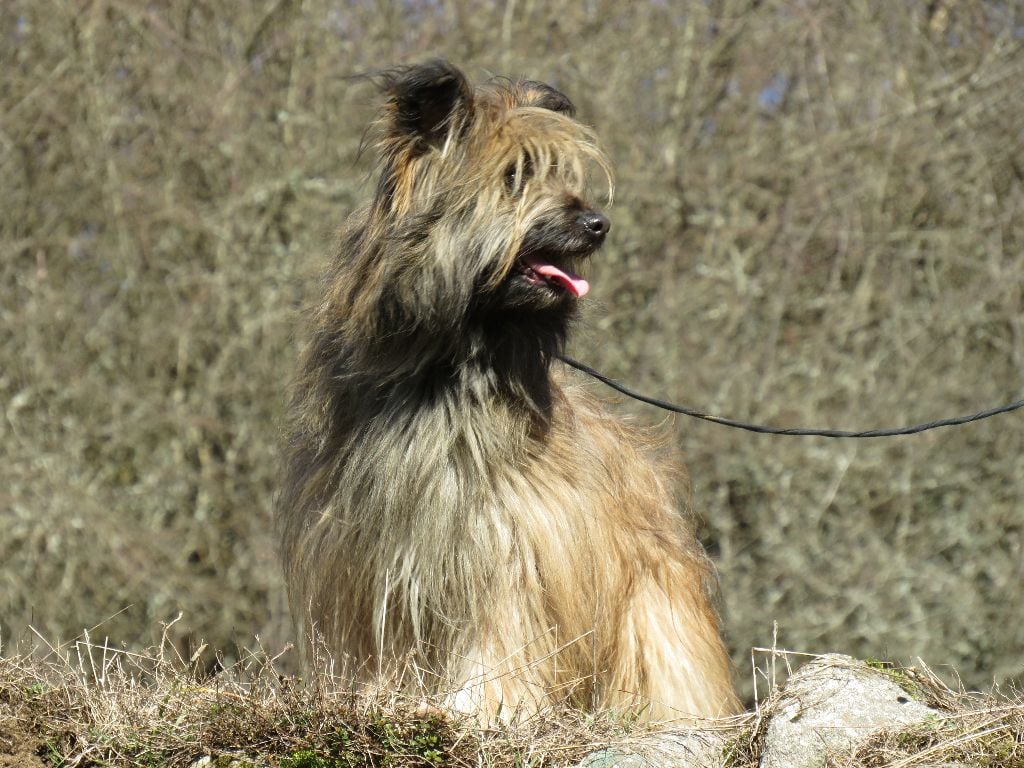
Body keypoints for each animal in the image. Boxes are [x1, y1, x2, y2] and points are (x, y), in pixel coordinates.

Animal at [276, 60, 741, 720]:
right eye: (515, 176)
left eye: (561, 172)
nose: (597, 224)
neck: (448, 373)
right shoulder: (372, 554)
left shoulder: (509, 546)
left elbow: (499, 635)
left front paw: (480, 706)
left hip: (652, 608)